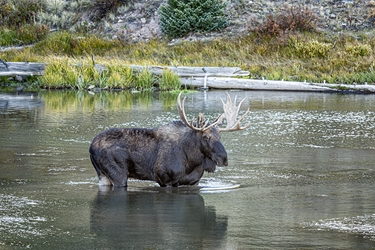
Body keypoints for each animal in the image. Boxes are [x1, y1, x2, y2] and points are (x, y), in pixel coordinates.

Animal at [89, 93, 251, 187]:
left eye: (220, 136)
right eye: (206, 137)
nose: (224, 159)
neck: (192, 161)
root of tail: (90, 148)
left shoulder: (193, 182)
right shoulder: (163, 178)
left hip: (103, 175)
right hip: (118, 174)